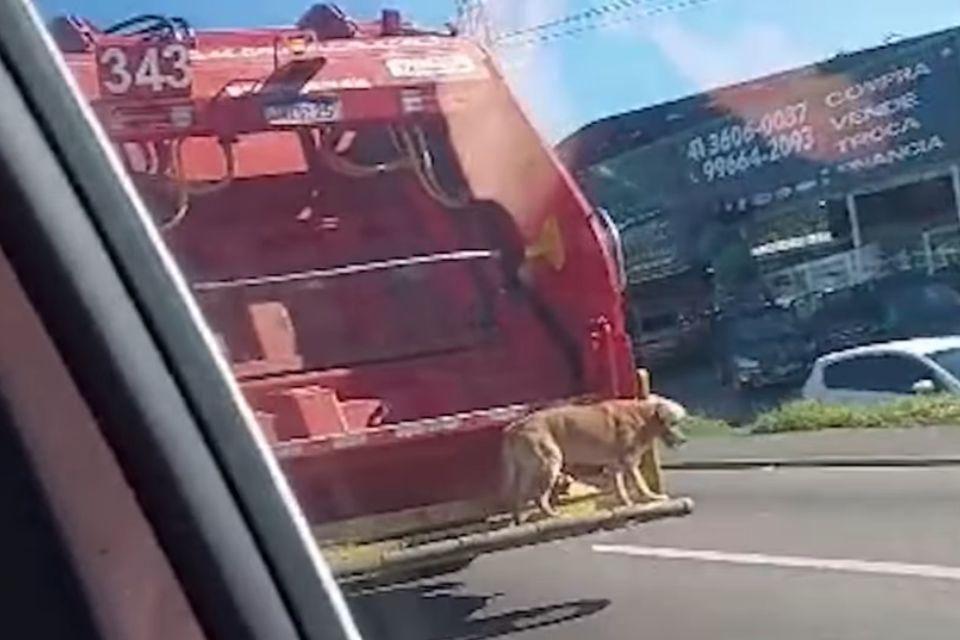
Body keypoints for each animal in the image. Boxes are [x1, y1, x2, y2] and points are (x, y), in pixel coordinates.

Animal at [498, 392, 688, 524]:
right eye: (674, 423)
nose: (684, 440)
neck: (644, 416)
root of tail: (514, 427)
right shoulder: (630, 462)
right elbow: (641, 484)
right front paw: (653, 497)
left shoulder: (615, 465)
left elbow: (620, 487)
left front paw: (626, 503)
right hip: (549, 464)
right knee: (539, 496)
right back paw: (552, 514)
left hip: (528, 469)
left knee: (519, 495)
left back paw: (520, 519)